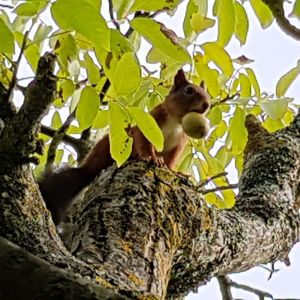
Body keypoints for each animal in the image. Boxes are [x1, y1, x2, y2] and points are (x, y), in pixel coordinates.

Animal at [38, 70, 210, 224]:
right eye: (189, 90)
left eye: (207, 94)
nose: (207, 104)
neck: (177, 121)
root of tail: (86, 170)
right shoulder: (150, 123)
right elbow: (143, 142)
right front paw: (150, 157)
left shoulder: (179, 143)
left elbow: (172, 159)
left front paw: (174, 171)